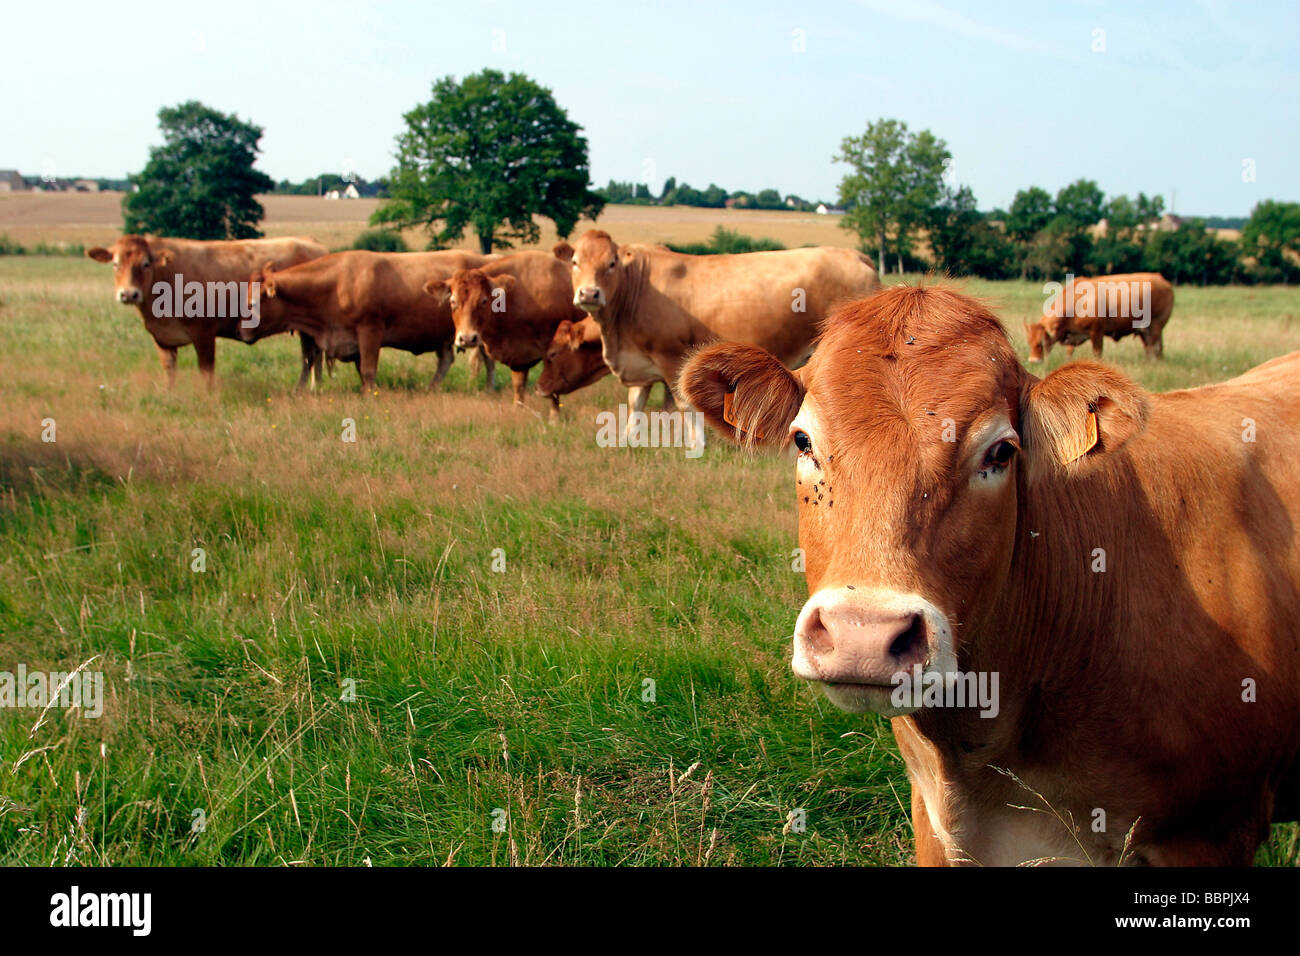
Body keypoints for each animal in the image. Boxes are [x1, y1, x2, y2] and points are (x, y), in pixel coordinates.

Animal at [86, 234, 328, 389]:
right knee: (314, 353)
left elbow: (206, 369)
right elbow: (169, 369)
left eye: (146, 264)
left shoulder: (203, 332)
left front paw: (209, 397)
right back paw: (315, 387)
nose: (128, 294)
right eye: (115, 264)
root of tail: (311, 242)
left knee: (309, 355)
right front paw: (169, 395)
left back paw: (304, 388)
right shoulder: (161, 338)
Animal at [242, 250, 495, 392]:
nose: (242, 332)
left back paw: (489, 389)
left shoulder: (370, 329)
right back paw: (432, 388)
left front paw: (370, 393)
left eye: (252, 304)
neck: (335, 285)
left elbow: (368, 368)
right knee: (446, 360)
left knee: (488, 359)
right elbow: (356, 367)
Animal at [423, 251, 582, 413]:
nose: (467, 339)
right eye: (453, 301)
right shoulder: (519, 358)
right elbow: (519, 387)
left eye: (484, 301)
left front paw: (554, 415)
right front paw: (517, 409)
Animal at [554, 231, 881, 411]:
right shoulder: (640, 363)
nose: (589, 293)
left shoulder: (671, 356)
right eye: (575, 262)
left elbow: (684, 406)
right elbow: (636, 408)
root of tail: (855, 255)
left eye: (611, 263)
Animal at [1026, 272, 1174, 363]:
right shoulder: (1072, 335)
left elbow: (1097, 353)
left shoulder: (1096, 332)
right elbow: (1069, 352)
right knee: (1155, 348)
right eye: (1029, 342)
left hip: (1155, 326)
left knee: (1153, 347)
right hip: (1148, 330)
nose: (1033, 361)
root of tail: (1159, 278)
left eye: (1041, 342)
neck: (1077, 300)